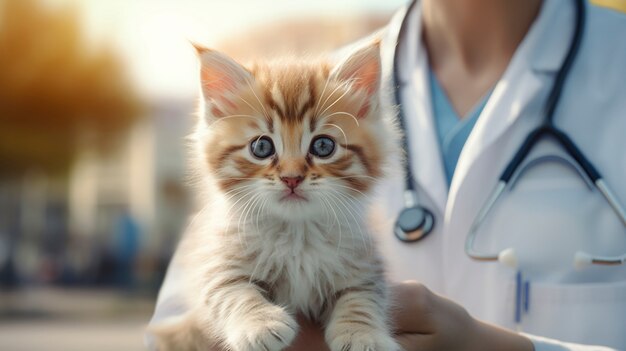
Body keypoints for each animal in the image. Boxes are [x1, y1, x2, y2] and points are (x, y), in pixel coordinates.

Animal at [152, 42, 400, 351]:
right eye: (261, 147)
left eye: (323, 146)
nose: (291, 178)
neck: (296, 234)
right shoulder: (216, 262)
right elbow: (232, 290)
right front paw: (260, 323)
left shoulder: (364, 265)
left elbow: (362, 297)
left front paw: (362, 333)